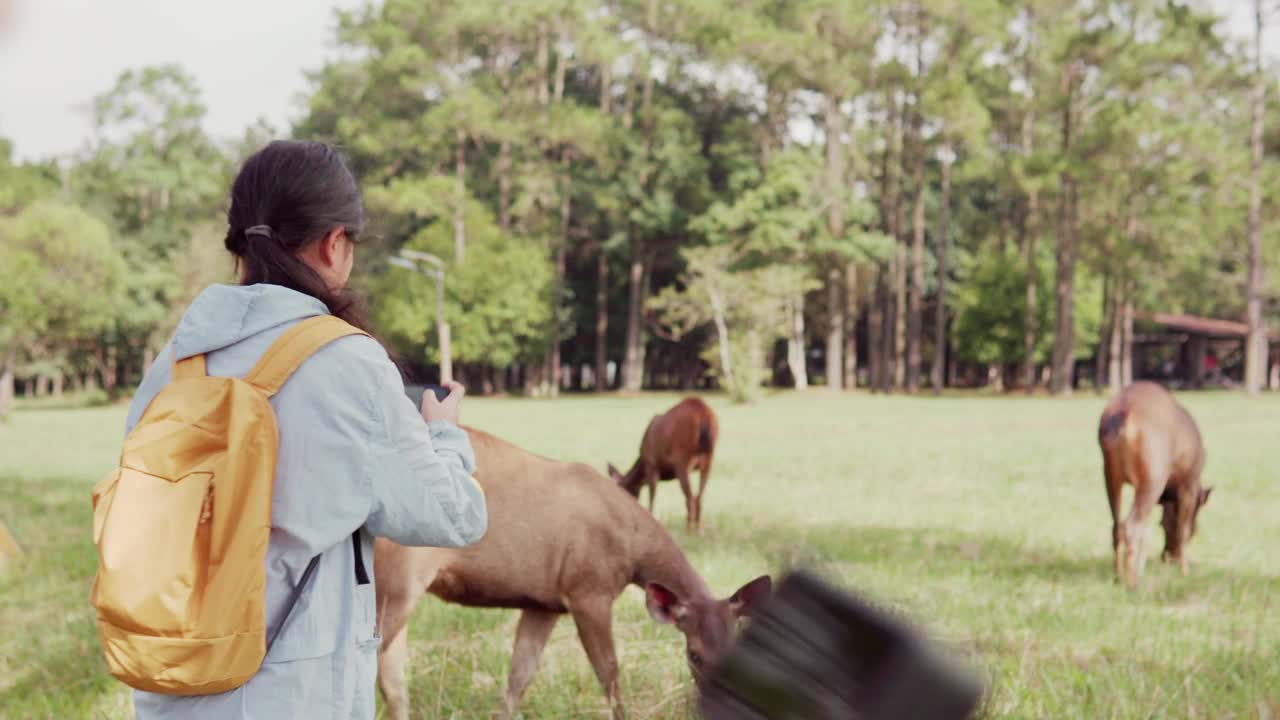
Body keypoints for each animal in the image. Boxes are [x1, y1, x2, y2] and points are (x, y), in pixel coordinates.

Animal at [371, 422, 768, 717]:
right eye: (693, 653)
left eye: (740, 649)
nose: (724, 708)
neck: (633, 551)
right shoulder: (587, 589)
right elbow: (610, 676)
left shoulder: (543, 602)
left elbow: (518, 679)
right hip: (399, 575)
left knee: (394, 681)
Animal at [609, 394, 721, 530]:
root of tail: (704, 416)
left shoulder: (652, 464)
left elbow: (652, 497)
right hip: (709, 459)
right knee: (699, 497)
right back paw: (698, 530)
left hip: (683, 459)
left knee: (690, 498)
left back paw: (689, 530)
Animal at [1095, 379, 1213, 586]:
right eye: (1197, 527)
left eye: (1162, 525)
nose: (1168, 557)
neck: (1170, 494)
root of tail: (1124, 417)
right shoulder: (1188, 483)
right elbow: (1182, 530)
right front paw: (1185, 571)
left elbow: (1151, 529)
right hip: (1153, 473)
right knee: (1131, 526)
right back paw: (1133, 583)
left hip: (1110, 473)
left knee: (1117, 525)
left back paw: (1118, 576)